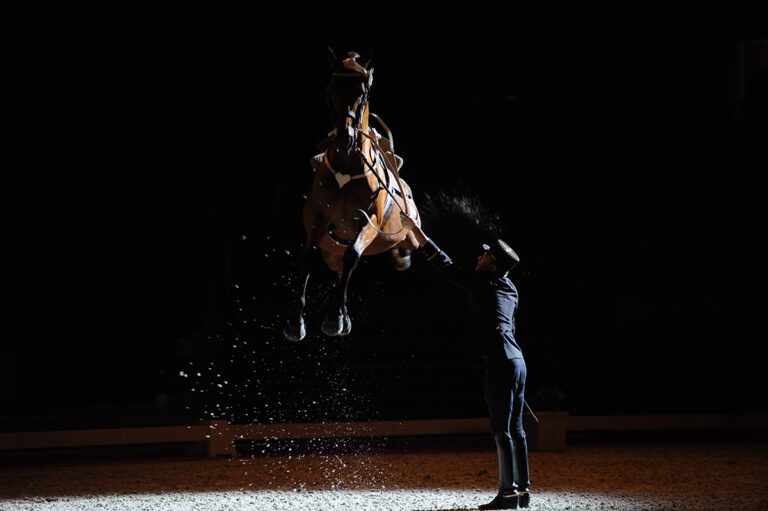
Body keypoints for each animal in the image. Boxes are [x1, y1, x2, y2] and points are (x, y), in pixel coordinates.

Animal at [284, 49, 424, 344]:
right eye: (330, 90)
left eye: (362, 92)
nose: (343, 139)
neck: (348, 166)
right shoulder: (317, 217)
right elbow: (309, 257)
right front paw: (295, 322)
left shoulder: (370, 220)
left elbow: (353, 255)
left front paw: (333, 319)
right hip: (332, 249)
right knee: (339, 270)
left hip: (403, 230)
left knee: (404, 240)